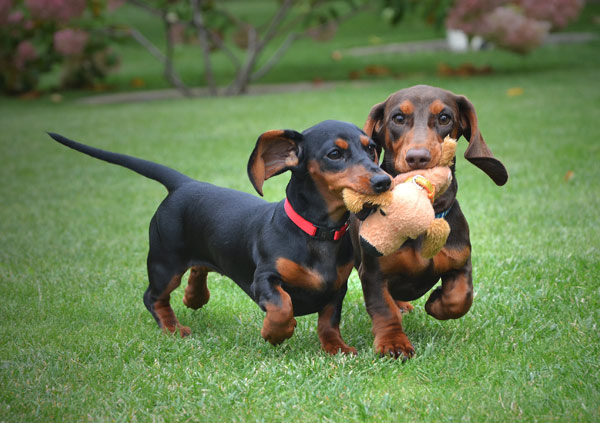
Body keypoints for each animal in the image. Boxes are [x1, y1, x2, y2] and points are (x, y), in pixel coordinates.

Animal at [49, 120, 392, 354]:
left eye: (371, 148)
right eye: (335, 154)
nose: (384, 181)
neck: (317, 233)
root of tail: (184, 184)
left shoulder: (337, 288)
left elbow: (329, 321)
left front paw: (337, 348)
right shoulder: (263, 279)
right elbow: (282, 305)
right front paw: (276, 332)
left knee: (199, 268)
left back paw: (195, 296)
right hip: (165, 262)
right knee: (153, 297)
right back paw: (173, 328)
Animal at [354, 86, 508, 362]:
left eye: (445, 118)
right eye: (398, 118)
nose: (418, 158)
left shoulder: (461, 261)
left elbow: (461, 297)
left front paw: (436, 302)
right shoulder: (372, 272)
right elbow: (383, 308)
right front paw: (394, 343)